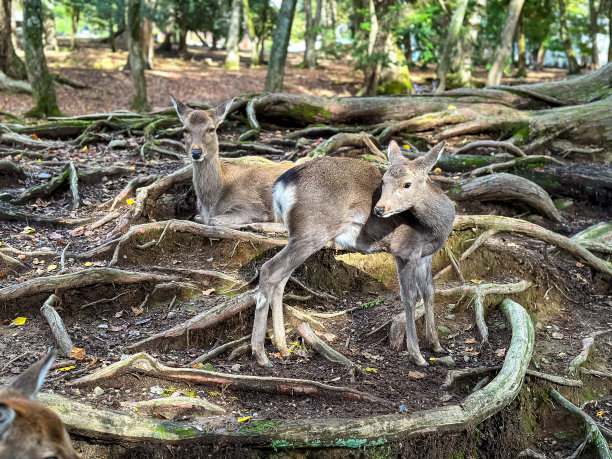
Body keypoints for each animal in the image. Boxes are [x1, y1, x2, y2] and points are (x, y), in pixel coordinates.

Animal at [249, 140, 454, 366]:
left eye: (407, 184)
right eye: (383, 181)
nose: (379, 209)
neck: (434, 228)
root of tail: (280, 187)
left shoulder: (426, 254)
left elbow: (429, 291)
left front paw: (436, 345)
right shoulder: (404, 250)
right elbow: (409, 296)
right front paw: (417, 356)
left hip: (299, 235)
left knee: (282, 279)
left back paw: (282, 347)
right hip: (311, 231)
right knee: (269, 269)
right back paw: (260, 354)